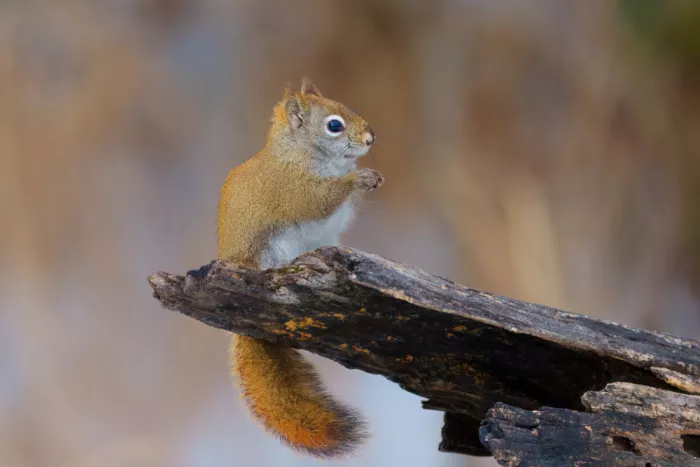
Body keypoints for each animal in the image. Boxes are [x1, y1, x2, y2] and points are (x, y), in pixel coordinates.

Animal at [217, 77, 384, 458]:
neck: (298, 153)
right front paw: (357, 180)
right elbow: (318, 200)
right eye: (334, 125)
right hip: (271, 252)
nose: (370, 138)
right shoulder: (292, 189)